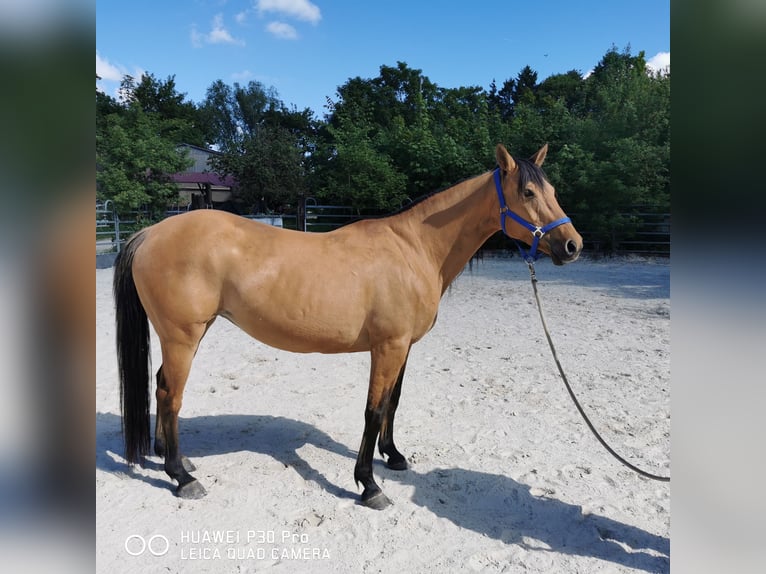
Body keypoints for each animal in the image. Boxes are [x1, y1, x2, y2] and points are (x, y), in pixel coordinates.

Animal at [113, 143, 583, 509]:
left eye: (554, 191)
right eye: (527, 191)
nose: (572, 245)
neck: (415, 249)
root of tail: (149, 233)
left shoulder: (403, 347)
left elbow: (393, 402)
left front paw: (393, 457)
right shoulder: (388, 347)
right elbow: (373, 410)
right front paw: (369, 485)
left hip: (186, 335)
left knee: (161, 385)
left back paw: (171, 458)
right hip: (182, 336)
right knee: (170, 394)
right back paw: (181, 477)